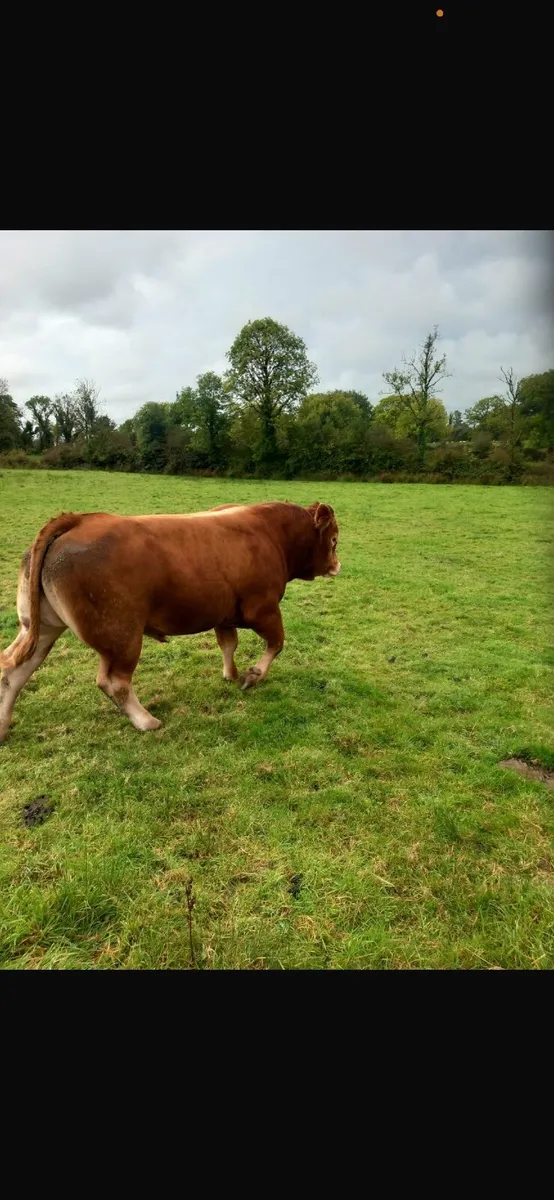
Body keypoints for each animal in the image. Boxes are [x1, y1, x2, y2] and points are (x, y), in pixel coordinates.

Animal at [0, 500, 340, 742]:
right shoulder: (263, 609)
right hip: (121, 636)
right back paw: (146, 721)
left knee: (12, 670)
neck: (272, 533)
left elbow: (228, 644)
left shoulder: (223, 613)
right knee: (114, 682)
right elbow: (276, 643)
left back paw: (3, 726)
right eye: (334, 539)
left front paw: (230, 674)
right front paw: (252, 675)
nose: (337, 565)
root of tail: (79, 520)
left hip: (39, 627)